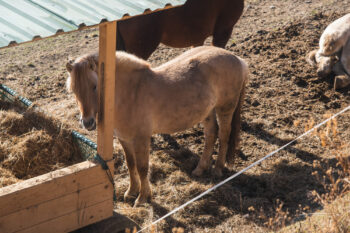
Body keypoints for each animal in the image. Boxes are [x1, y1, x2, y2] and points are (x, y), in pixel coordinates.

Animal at [65, 46, 249, 206]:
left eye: (95, 86)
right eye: (73, 90)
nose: (87, 122)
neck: (129, 94)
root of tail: (238, 60)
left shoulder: (141, 139)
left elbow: (142, 167)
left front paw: (142, 198)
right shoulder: (124, 139)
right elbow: (130, 165)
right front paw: (131, 192)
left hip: (225, 108)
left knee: (224, 135)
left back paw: (217, 170)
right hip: (208, 112)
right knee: (211, 135)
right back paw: (200, 169)